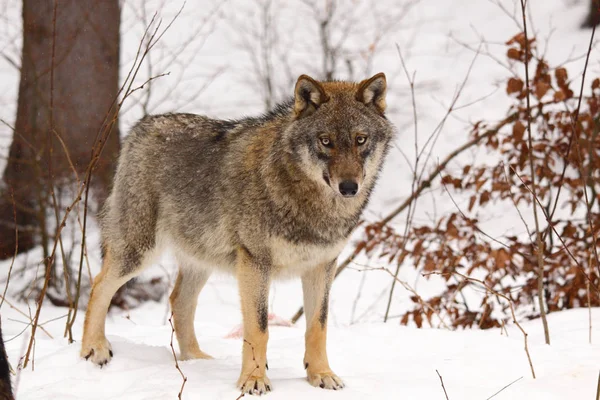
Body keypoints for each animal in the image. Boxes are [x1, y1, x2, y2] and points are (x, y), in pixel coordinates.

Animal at [82, 72, 396, 394]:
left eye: (360, 140)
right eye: (326, 142)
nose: (349, 187)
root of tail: (142, 125)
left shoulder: (322, 267)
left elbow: (317, 326)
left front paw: (321, 374)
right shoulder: (255, 263)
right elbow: (259, 328)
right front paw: (253, 380)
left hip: (200, 258)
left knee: (178, 301)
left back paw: (196, 360)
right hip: (139, 252)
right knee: (98, 285)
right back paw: (94, 349)